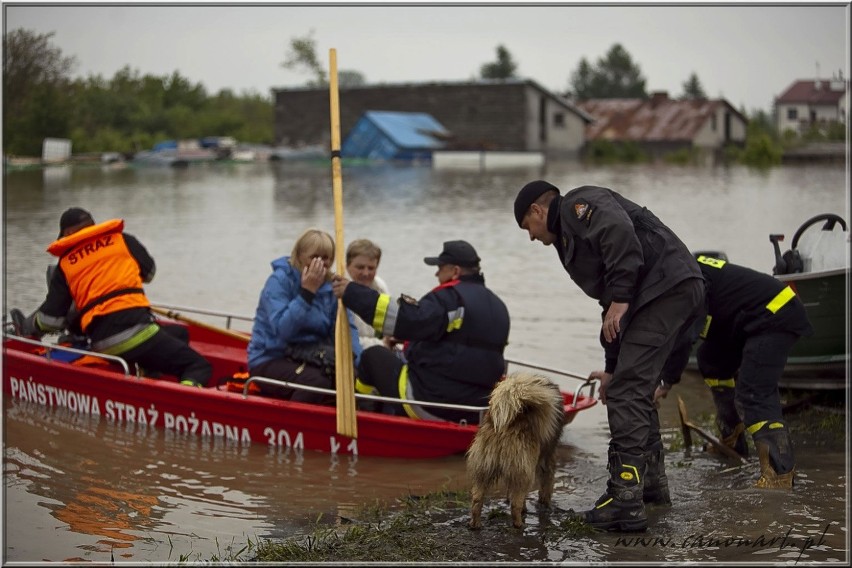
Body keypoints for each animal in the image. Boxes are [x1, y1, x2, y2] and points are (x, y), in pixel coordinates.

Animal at [466, 372, 564, 528]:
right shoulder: (546, 461)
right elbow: (546, 485)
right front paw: (545, 503)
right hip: (523, 472)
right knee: (515, 504)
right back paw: (519, 524)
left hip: (484, 467)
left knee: (477, 500)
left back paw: (475, 524)